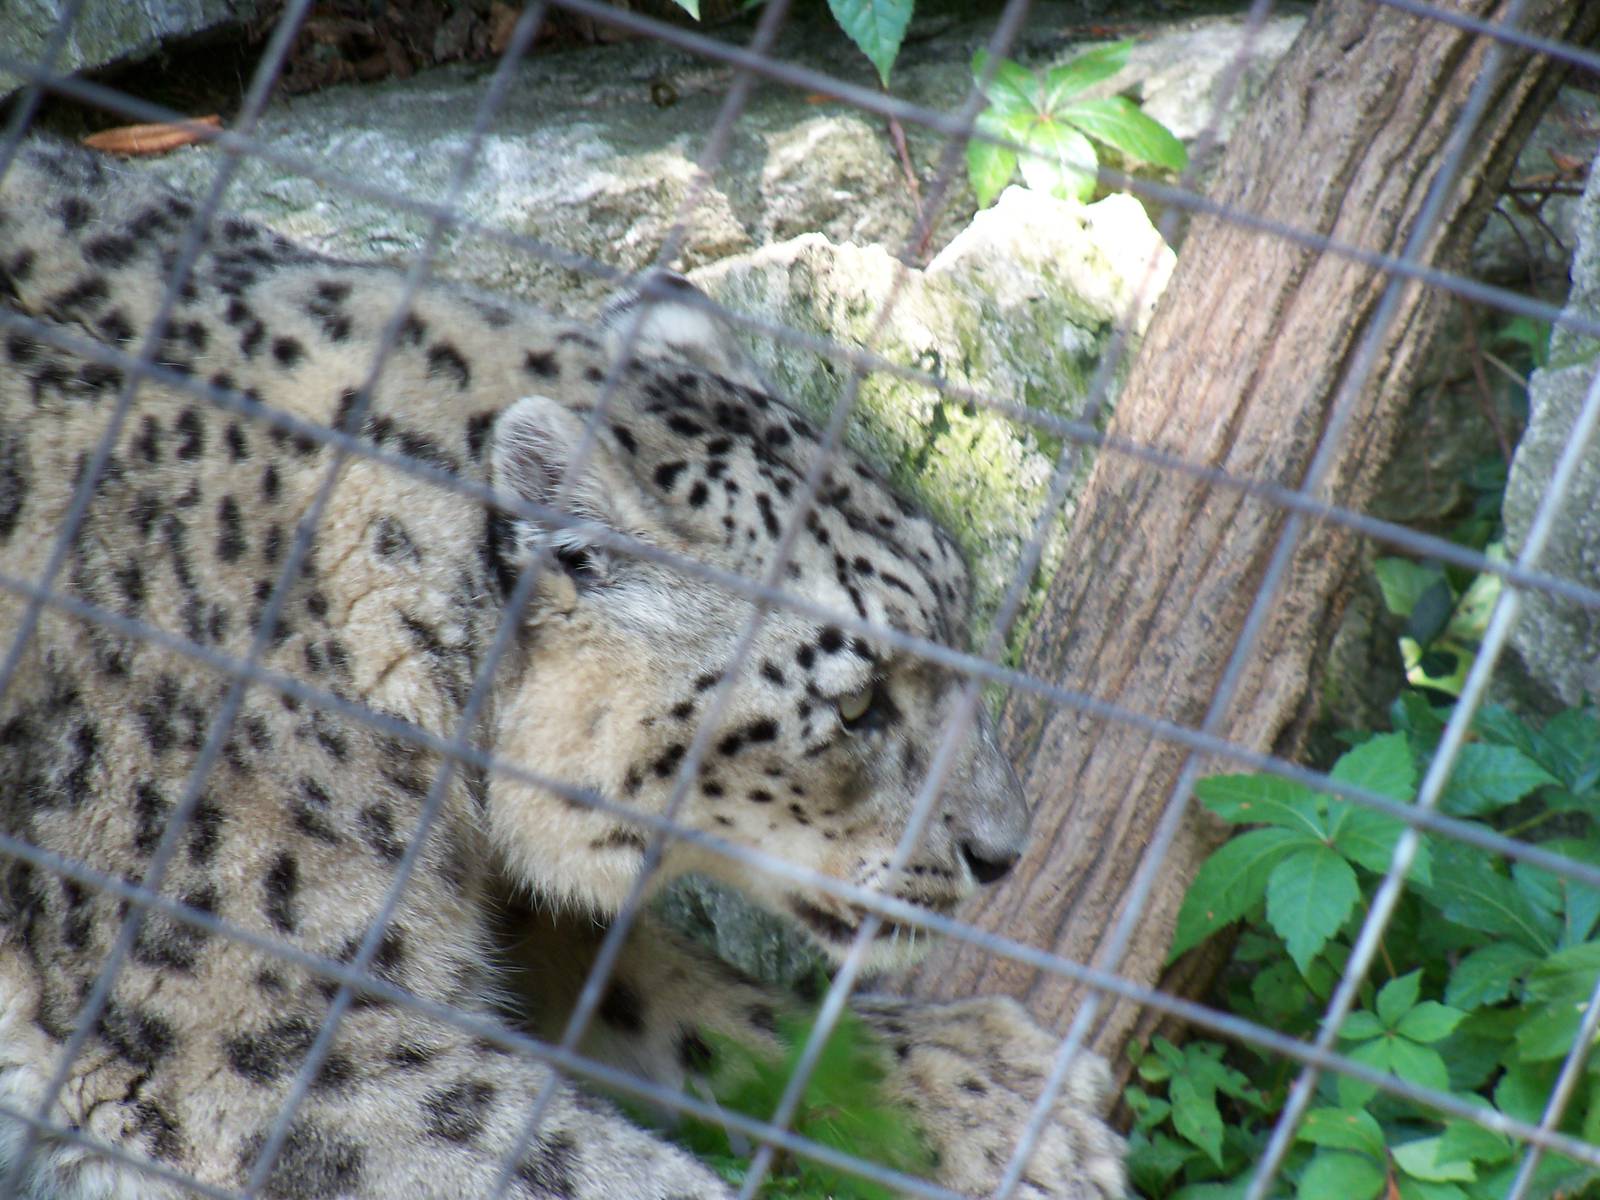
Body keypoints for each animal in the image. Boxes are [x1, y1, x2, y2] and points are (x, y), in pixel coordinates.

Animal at [0, 137, 1125, 1200]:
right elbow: (571, 1163)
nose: (1003, 852)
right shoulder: (268, 1041)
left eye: (960, 614)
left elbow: (652, 980)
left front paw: (990, 1091)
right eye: (854, 708)